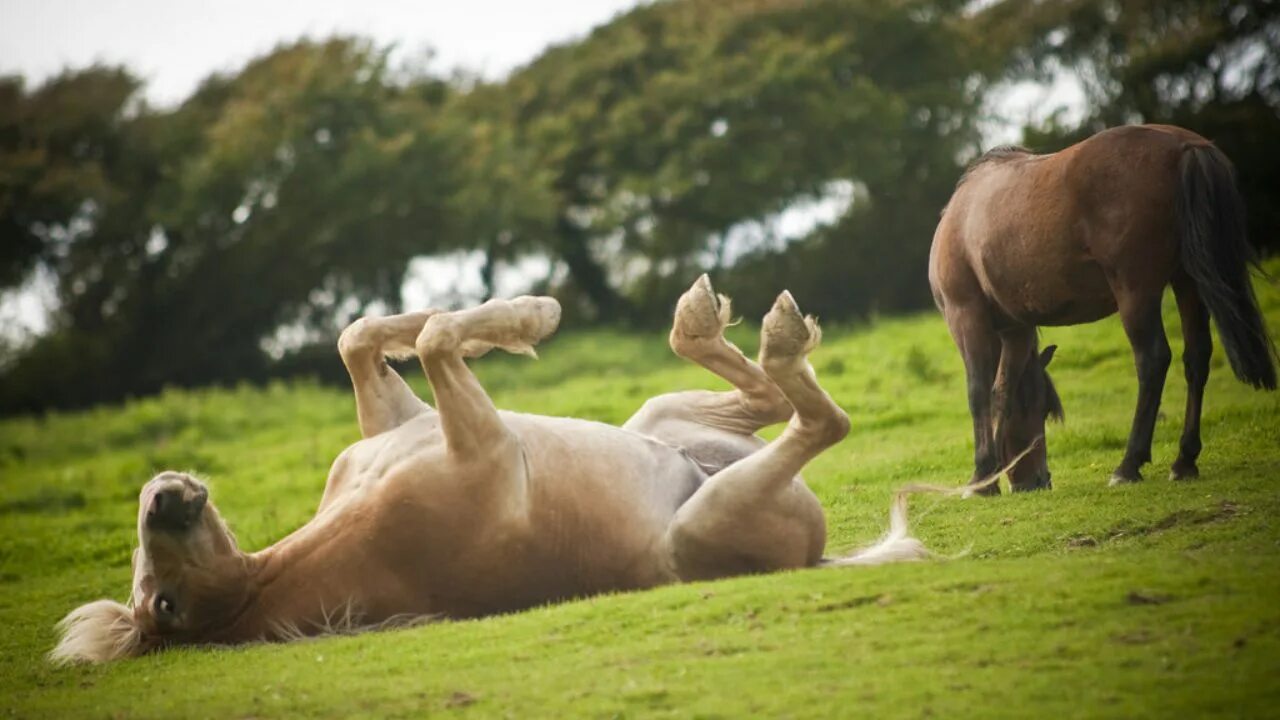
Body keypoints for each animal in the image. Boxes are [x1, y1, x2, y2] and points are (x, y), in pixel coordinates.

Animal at [52, 274, 931, 661]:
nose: (164, 496)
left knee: (762, 395)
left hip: (659, 420)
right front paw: (531, 316)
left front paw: (510, 313)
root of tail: (818, 553)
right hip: (709, 519)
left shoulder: (403, 426)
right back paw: (778, 336)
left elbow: (367, 332)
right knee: (819, 417)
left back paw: (706, 318)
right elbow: (436, 335)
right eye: (160, 603)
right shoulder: (485, 447)